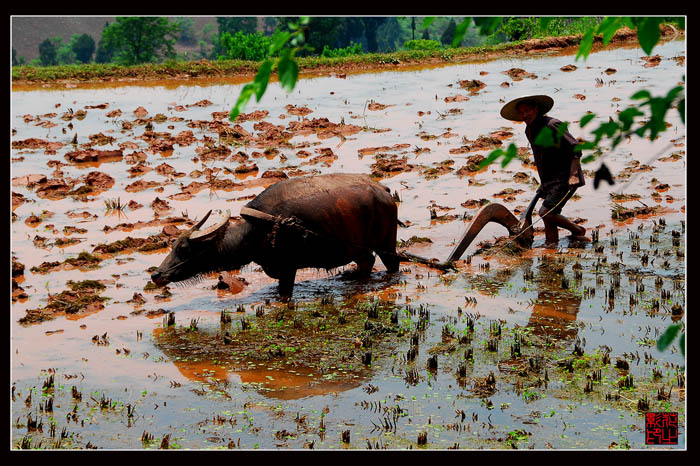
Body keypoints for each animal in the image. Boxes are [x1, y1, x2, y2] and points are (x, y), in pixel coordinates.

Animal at [149, 173, 400, 296]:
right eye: (173, 246)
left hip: (387, 245)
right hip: (358, 248)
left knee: (392, 264)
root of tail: (384, 192)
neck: (256, 232)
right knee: (367, 262)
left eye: (184, 249)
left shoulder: (288, 269)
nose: (156, 275)